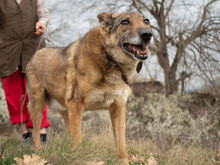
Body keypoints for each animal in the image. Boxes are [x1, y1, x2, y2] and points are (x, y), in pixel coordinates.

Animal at [25, 11, 152, 159]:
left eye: (146, 21)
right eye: (125, 22)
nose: (147, 35)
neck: (110, 60)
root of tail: (35, 55)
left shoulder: (118, 108)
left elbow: (121, 144)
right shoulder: (76, 106)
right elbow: (77, 141)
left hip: (66, 111)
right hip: (38, 105)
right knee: (35, 134)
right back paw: (39, 154)